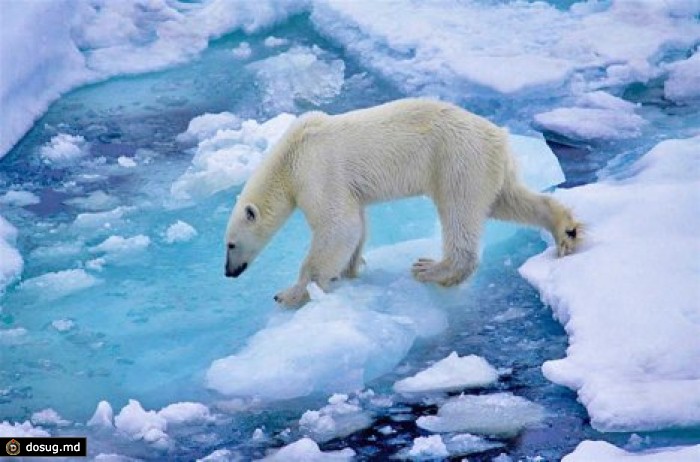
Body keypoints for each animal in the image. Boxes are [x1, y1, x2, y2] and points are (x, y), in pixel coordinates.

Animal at [224, 97, 580, 306]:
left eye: (230, 244)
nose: (228, 272)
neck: (289, 157)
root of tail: (500, 137)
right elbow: (355, 224)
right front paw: (349, 269)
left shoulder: (317, 172)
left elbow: (338, 226)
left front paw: (292, 292)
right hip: (487, 168)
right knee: (508, 200)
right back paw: (567, 230)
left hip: (456, 161)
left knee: (458, 213)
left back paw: (433, 269)